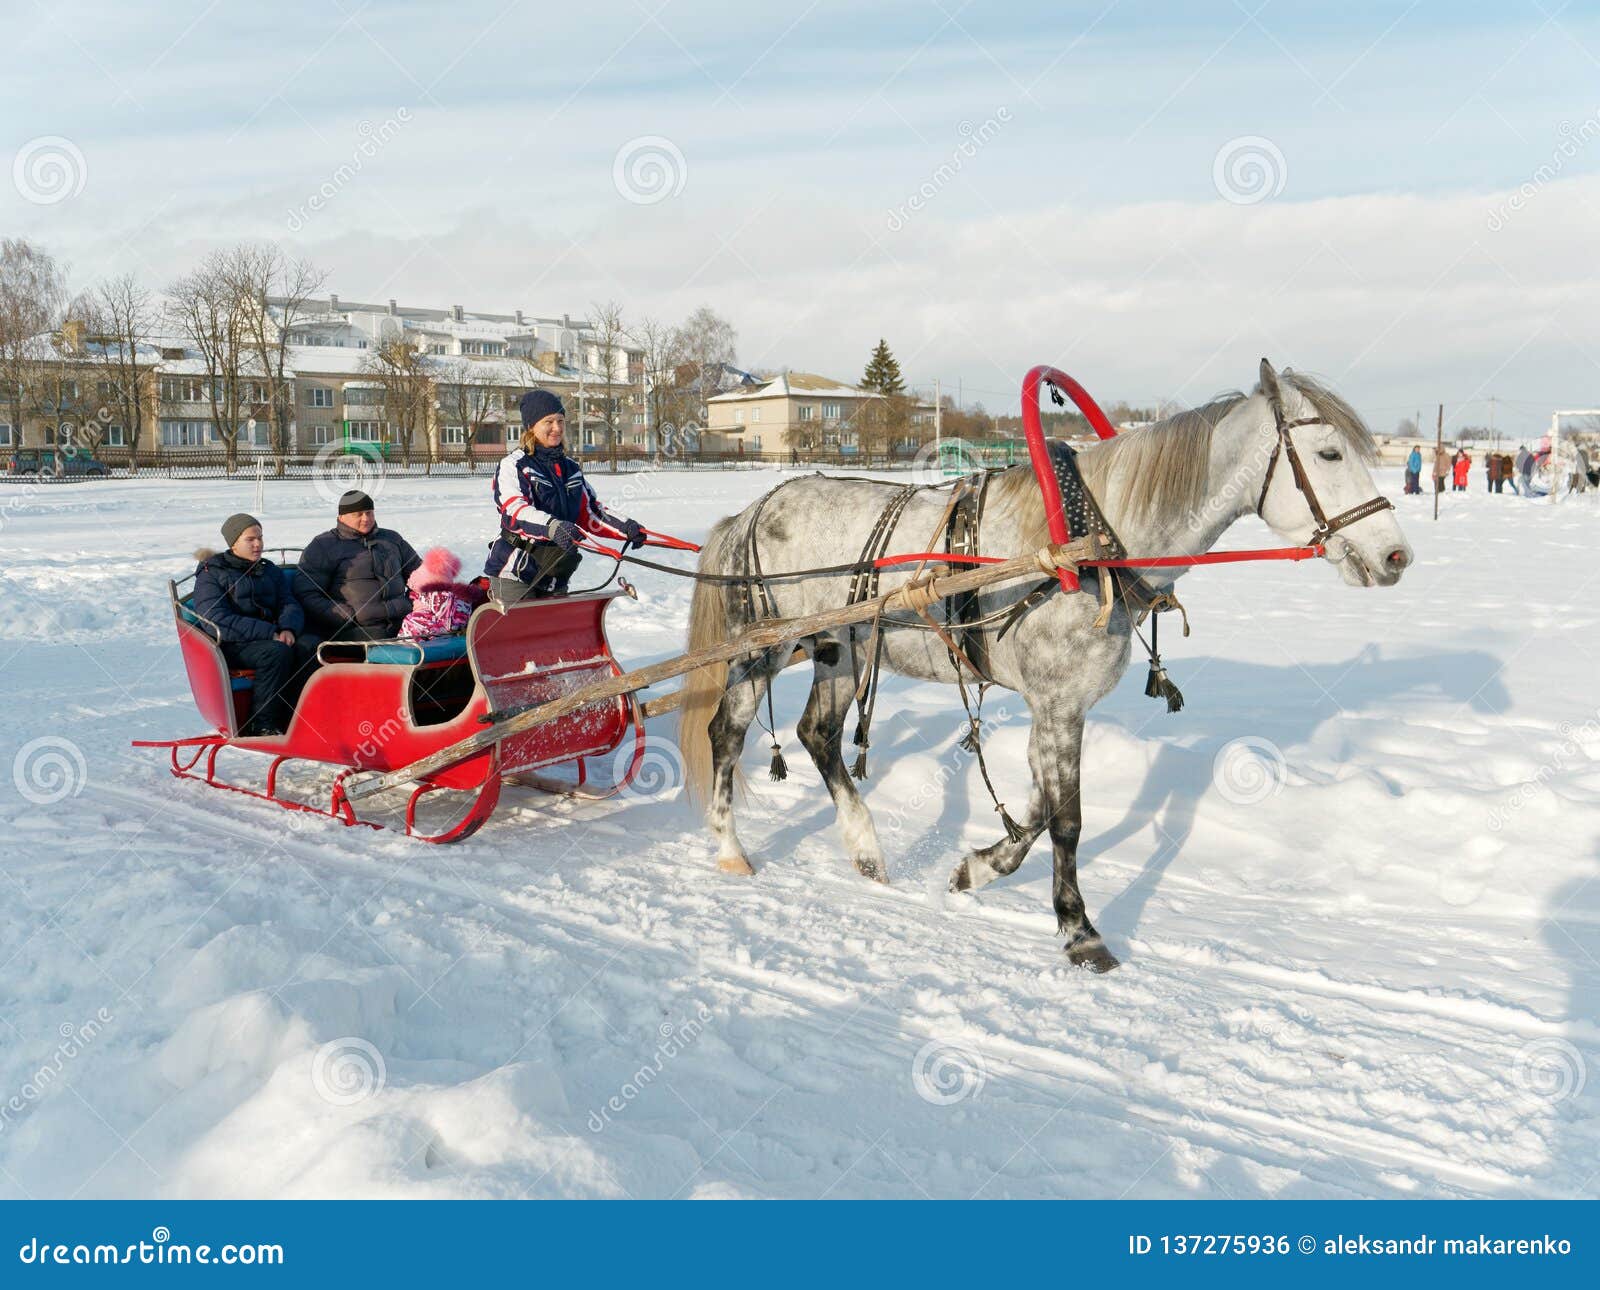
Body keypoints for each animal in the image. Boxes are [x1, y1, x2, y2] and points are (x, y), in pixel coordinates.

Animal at [678, 363, 1414, 973]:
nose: (1397, 556)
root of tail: (752, 509)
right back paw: (730, 848)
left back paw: (865, 850)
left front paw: (978, 868)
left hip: (842, 647)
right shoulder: (1057, 703)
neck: (1089, 544)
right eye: (1329, 453)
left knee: (819, 735)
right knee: (727, 735)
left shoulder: (1056, 704)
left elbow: (1037, 804)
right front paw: (1079, 930)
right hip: (763, 647)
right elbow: (1068, 820)